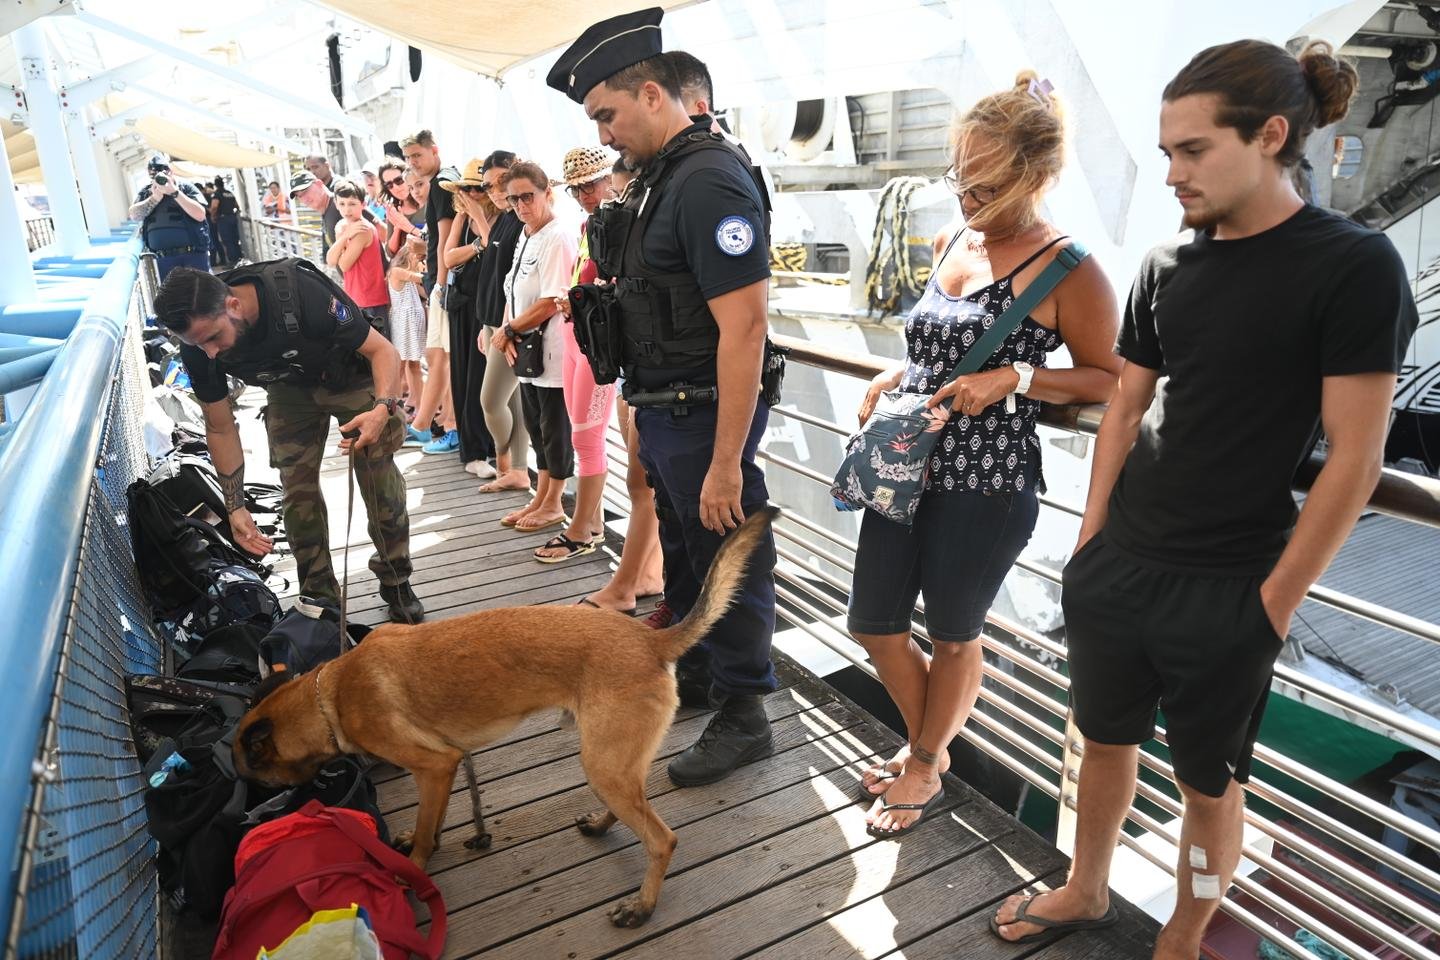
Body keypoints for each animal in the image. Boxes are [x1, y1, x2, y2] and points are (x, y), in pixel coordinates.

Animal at [236, 506, 783, 926]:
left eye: (255, 775)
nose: (253, 812)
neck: (328, 695)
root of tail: (651, 641)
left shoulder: (435, 766)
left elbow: (424, 836)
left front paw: (414, 869)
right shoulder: (445, 768)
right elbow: (432, 819)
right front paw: (422, 839)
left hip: (604, 762)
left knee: (662, 839)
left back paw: (641, 907)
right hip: (614, 761)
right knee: (634, 807)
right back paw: (602, 825)